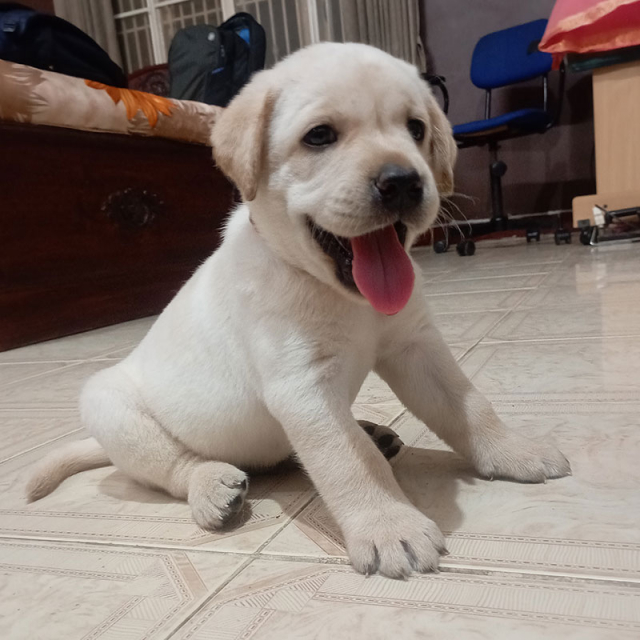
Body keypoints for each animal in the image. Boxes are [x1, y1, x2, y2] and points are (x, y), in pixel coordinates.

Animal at [30, 42, 568, 576]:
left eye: (416, 128)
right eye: (320, 136)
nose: (403, 182)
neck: (336, 291)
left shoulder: (417, 347)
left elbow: (469, 405)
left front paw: (515, 452)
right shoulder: (302, 388)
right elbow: (350, 460)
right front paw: (389, 525)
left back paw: (373, 430)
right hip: (110, 408)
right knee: (173, 466)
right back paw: (211, 488)